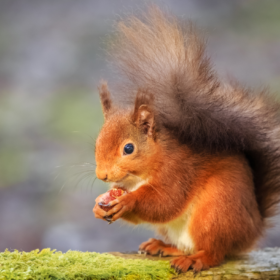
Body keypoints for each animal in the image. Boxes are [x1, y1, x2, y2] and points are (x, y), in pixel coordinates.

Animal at [92, 6, 280, 274]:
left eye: (129, 148)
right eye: (96, 143)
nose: (102, 176)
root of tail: (251, 230)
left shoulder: (179, 171)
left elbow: (166, 202)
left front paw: (128, 201)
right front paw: (100, 205)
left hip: (215, 213)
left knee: (213, 252)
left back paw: (195, 260)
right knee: (185, 245)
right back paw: (163, 246)